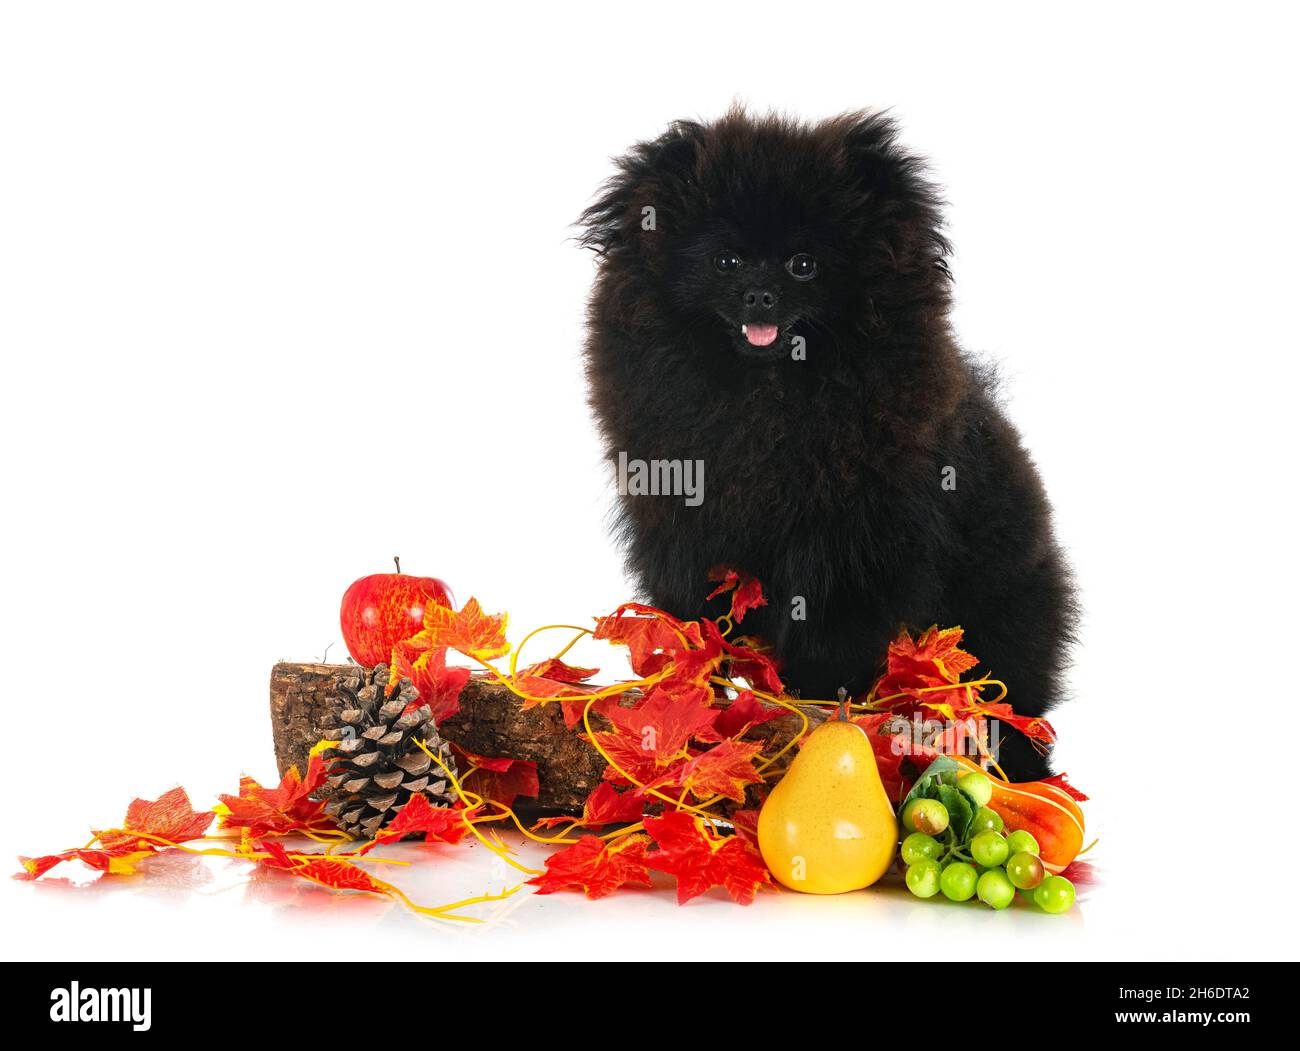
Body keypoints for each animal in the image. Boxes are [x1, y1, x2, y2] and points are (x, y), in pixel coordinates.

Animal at [579, 108, 1076, 780]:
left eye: (803, 265)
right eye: (726, 262)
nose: (760, 294)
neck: (765, 395)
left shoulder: (853, 534)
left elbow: (832, 630)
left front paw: (816, 702)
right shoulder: (679, 513)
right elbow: (691, 618)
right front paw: (687, 695)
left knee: (1009, 700)